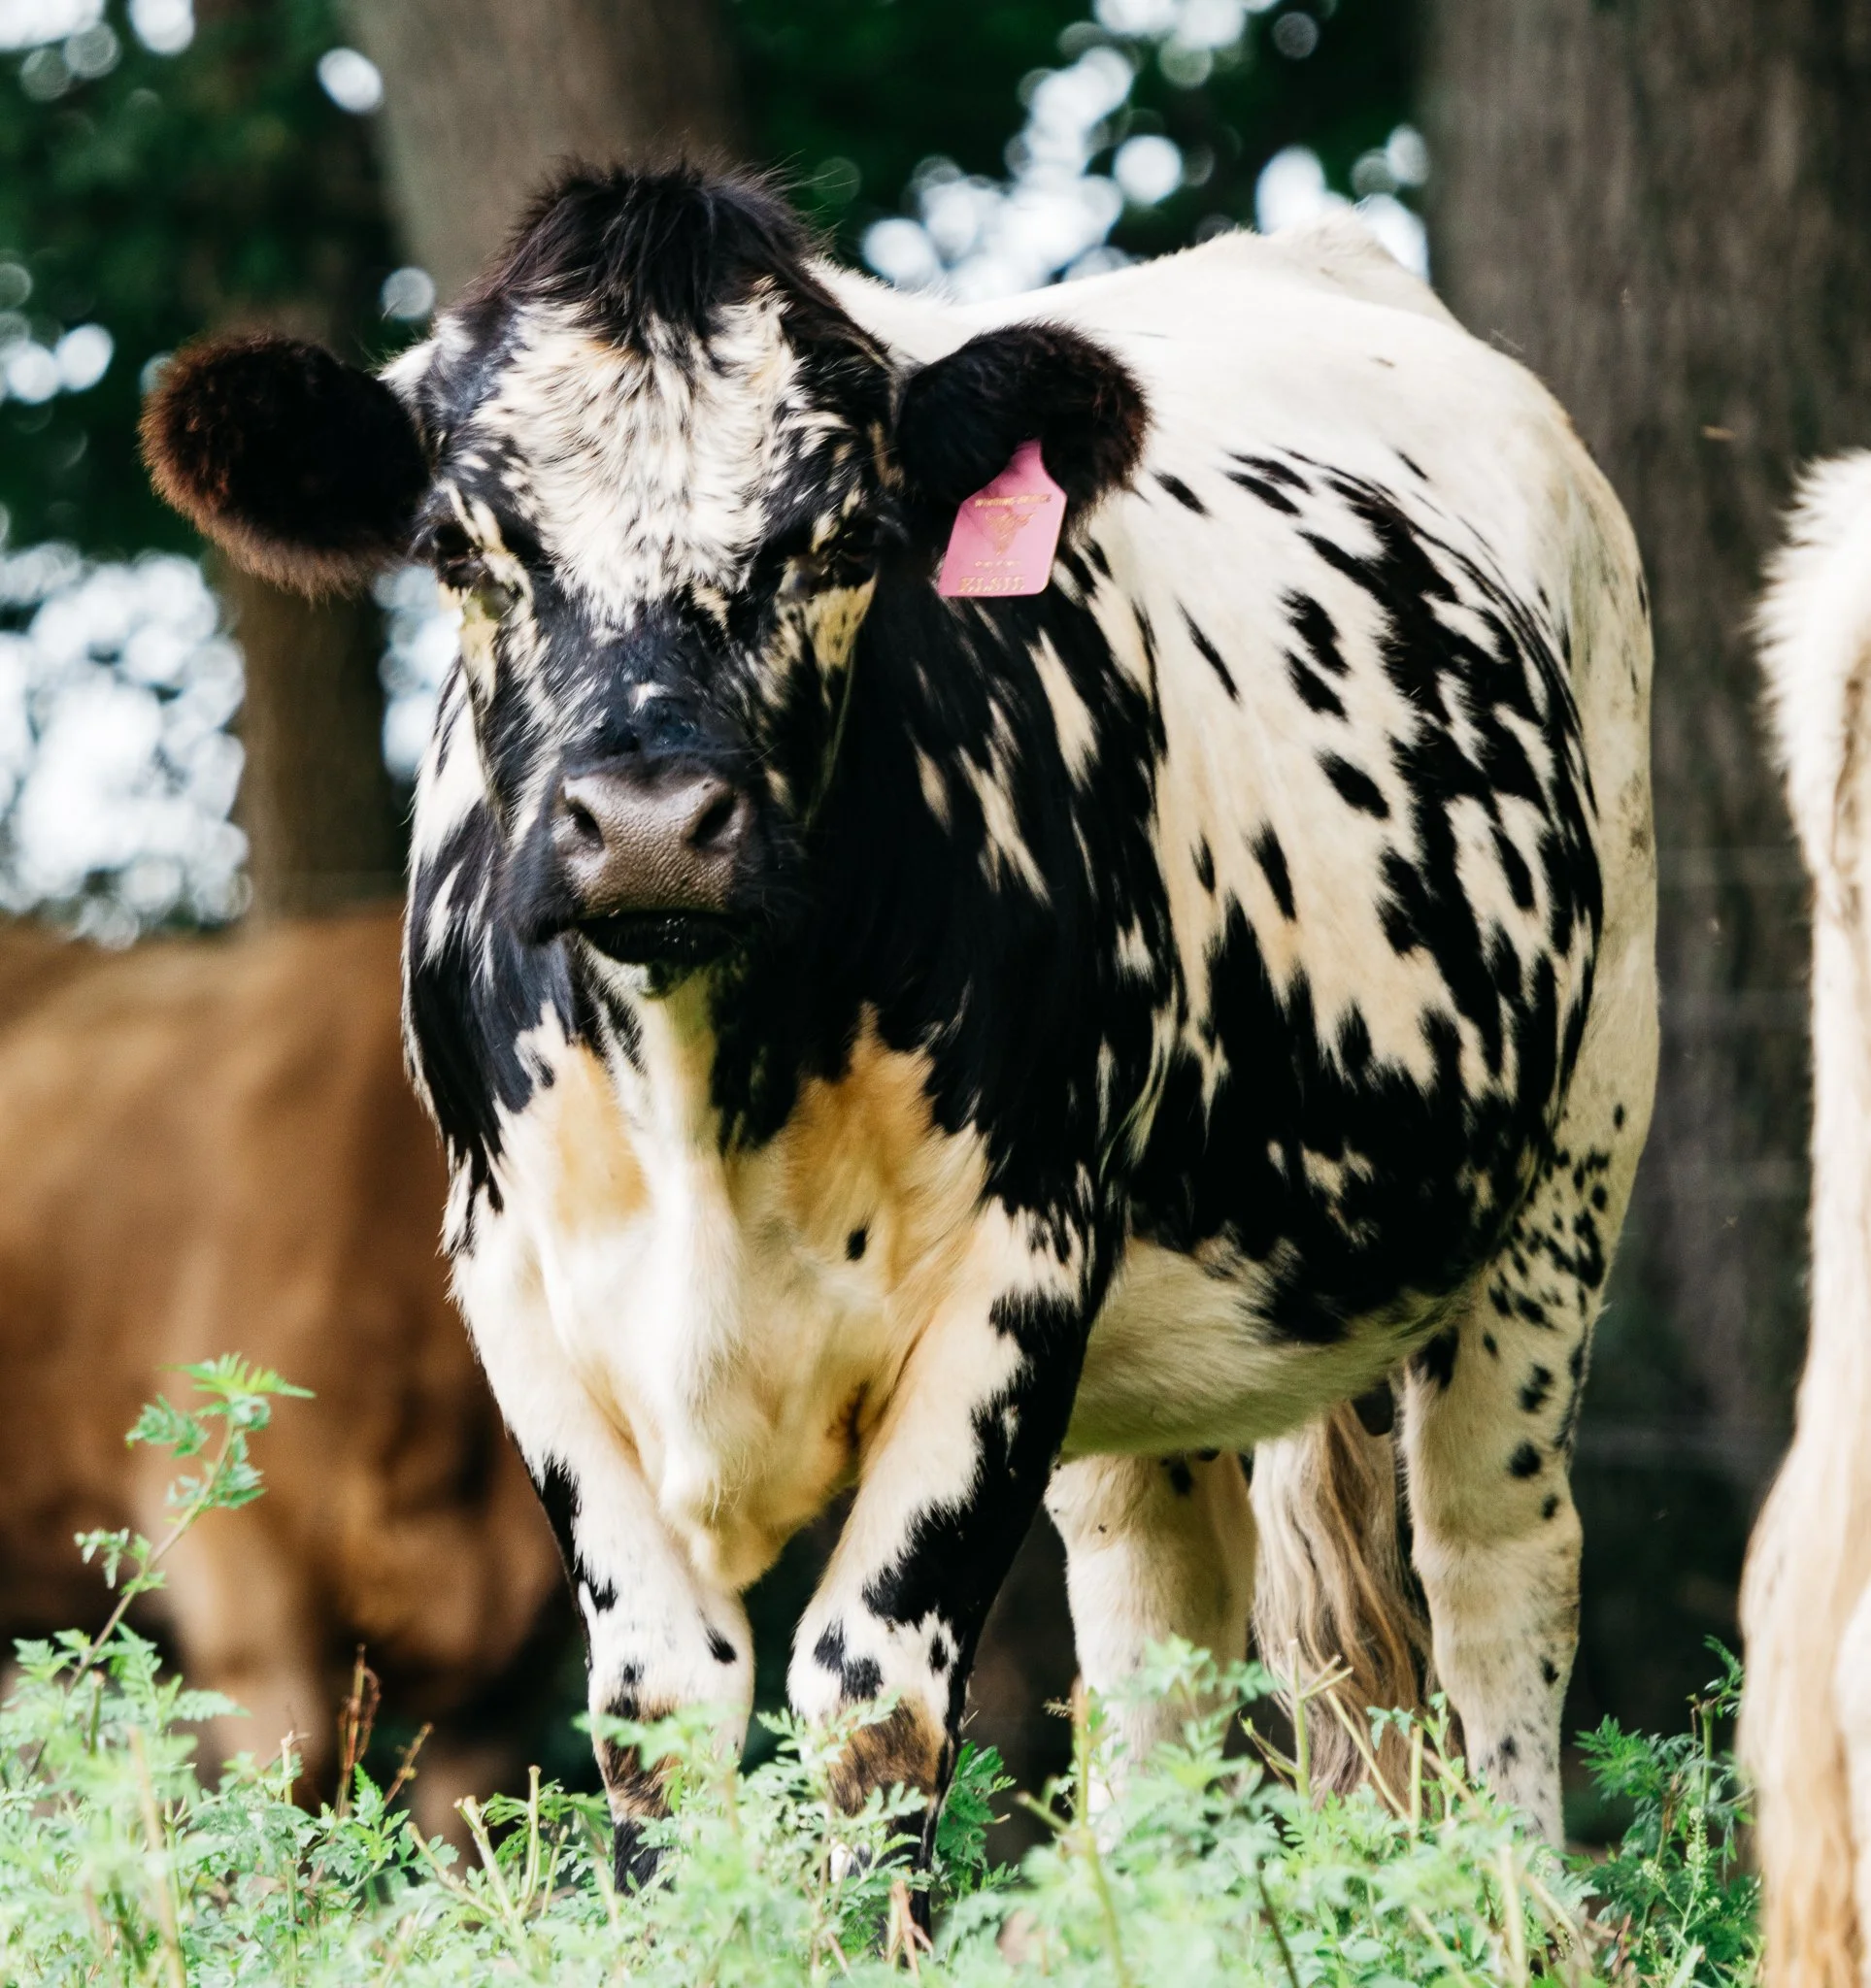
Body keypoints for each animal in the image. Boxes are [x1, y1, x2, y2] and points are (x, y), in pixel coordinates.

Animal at [142, 164, 1658, 1886]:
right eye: (463, 545)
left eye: (842, 536)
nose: (652, 827)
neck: (702, 1106)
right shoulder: (514, 1280)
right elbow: (658, 1709)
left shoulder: (1019, 1269)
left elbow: (870, 1698)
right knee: (1159, 1610)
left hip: (1569, 1165)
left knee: (1491, 1562)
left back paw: (1523, 1900)